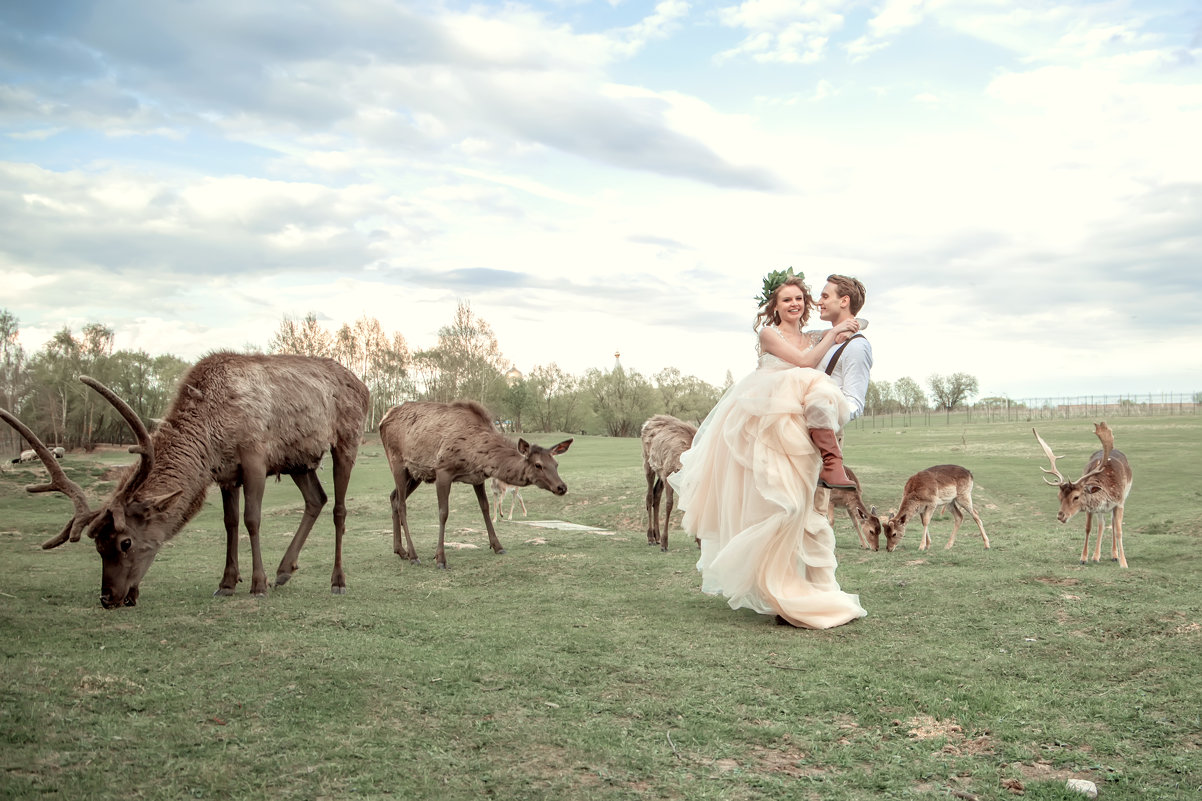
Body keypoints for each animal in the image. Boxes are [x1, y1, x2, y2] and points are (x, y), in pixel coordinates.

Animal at [0, 353, 367, 608]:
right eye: (98, 546)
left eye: (125, 542)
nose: (108, 598)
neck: (210, 434)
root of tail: (364, 386)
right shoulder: (226, 473)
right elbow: (230, 523)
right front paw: (227, 583)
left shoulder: (254, 457)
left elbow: (252, 520)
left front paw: (257, 585)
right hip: (298, 461)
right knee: (316, 498)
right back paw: (285, 570)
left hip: (347, 440)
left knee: (339, 508)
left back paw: (337, 580)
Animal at [382, 399, 574, 567]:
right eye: (538, 465)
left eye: (556, 464)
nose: (562, 487)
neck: (477, 456)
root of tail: (382, 420)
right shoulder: (443, 470)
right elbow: (443, 512)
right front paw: (440, 558)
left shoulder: (477, 477)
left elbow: (485, 507)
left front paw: (498, 546)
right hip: (397, 463)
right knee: (402, 504)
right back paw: (413, 555)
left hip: (416, 474)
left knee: (393, 497)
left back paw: (401, 551)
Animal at [639, 411, 697, 548]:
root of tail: (646, 423)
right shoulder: (669, 473)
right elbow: (669, 504)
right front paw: (665, 543)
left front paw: (698, 541)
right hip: (648, 463)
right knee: (649, 496)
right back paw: (651, 537)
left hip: (661, 471)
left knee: (656, 494)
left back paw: (657, 536)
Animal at [1033, 420, 1134, 565]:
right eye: (1059, 496)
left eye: (1076, 497)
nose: (1060, 516)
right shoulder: (1090, 508)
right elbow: (1088, 528)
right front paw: (1084, 558)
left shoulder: (1119, 503)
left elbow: (1119, 530)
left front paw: (1124, 563)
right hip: (1100, 511)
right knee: (1101, 525)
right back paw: (1096, 556)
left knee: (1113, 524)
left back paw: (1115, 555)